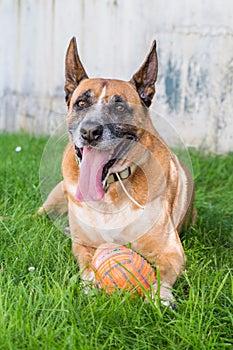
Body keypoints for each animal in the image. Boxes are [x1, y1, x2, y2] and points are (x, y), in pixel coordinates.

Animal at [38, 38, 195, 304]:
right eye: (81, 103)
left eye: (120, 107)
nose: (90, 132)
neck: (110, 191)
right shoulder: (83, 246)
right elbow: (88, 264)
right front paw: (89, 286)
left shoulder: (171, 251)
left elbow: (162, 274)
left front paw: (161, 297)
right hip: (54, 200)